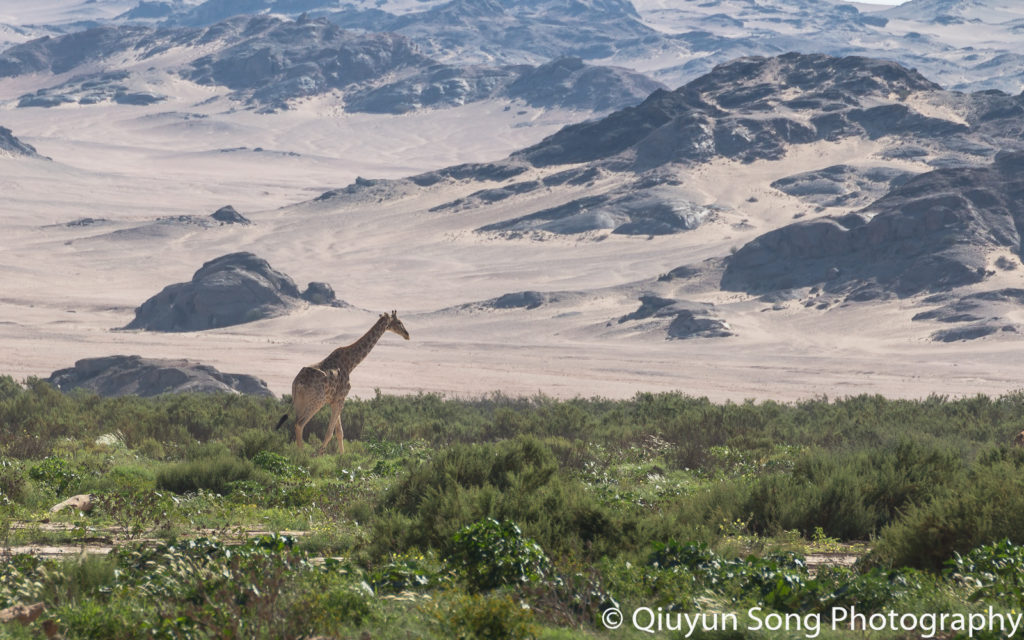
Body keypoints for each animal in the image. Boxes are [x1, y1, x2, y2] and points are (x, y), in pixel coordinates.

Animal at [276, 311, 409, 454]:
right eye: (399, 322)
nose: (407, 334)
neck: (351, 364)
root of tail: (298, 383)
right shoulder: (341, 398)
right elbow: (330, 432)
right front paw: (319, 453)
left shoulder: (335, 401)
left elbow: (339, 432)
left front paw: (341, 454)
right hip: (317, 401)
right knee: (300, 424)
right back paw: (302, 454)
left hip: (299, 401)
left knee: (295, 423)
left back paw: (297, 452)